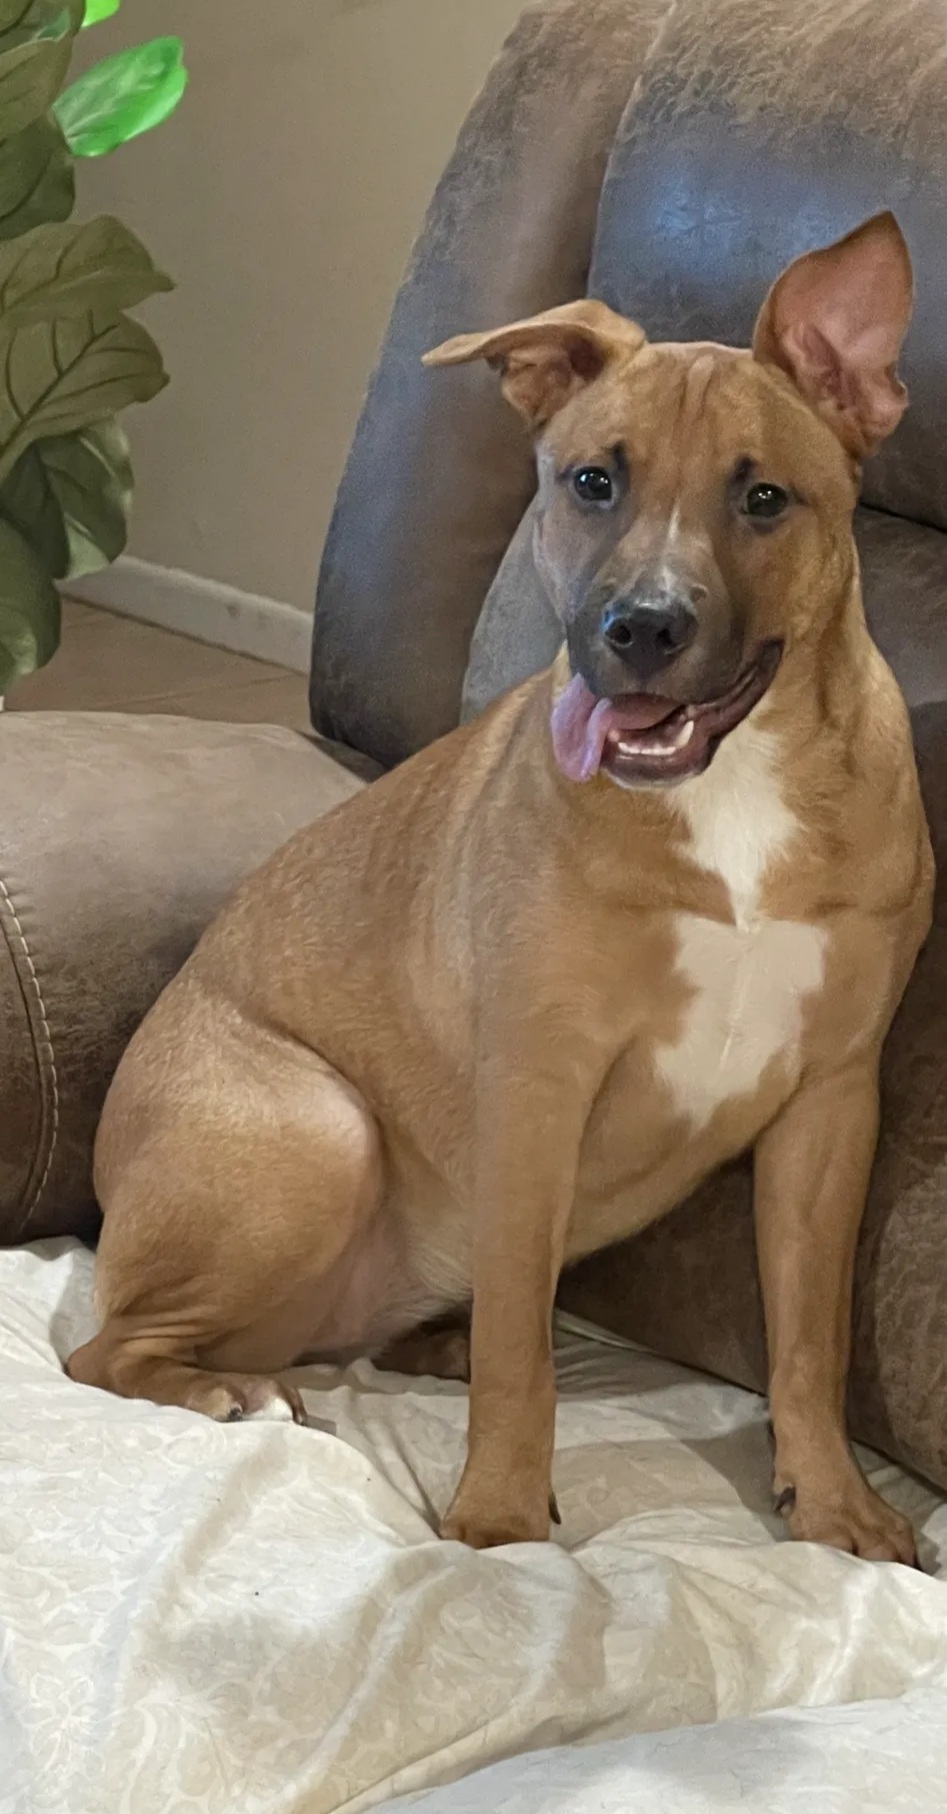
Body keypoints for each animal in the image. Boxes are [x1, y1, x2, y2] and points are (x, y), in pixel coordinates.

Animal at [66, 212, 928, 1567]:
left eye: (763, 498)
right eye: (590, 481)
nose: (638, 627)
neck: (729, 793)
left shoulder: (829, 1105)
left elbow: (807, 1338)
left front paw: (833, 1505)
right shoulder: (535, 1084)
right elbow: (521, 1349)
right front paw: (499, 1524)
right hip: (318, 1131)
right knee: (106, 1349)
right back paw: (230, 1385)